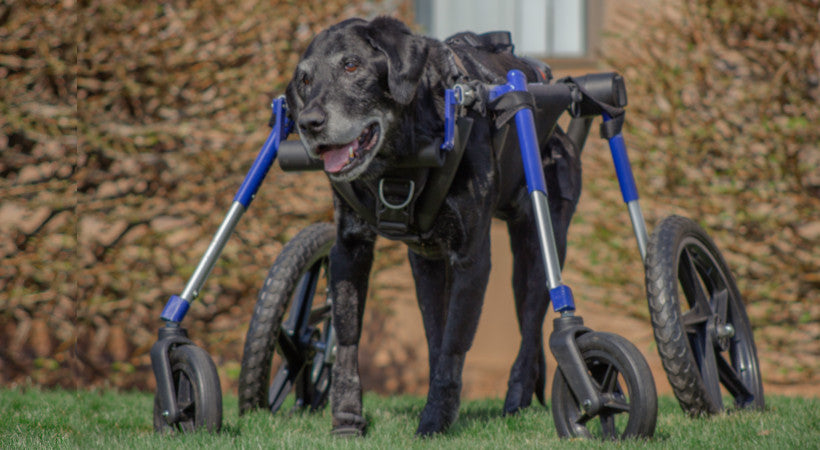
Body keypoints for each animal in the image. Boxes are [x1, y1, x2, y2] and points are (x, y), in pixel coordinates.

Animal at [286, 16, 580, 436]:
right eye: (305, 80)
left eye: (352, 66)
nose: (308, 123)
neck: (398, 160)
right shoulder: (350, 248)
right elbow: (348, 337)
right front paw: (347, 419)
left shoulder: (472, 259)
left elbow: (455, 342)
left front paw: (435, 419)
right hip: (426, 265)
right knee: (439, 328)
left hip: (540, 251)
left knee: (530, 323)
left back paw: (516, 399)